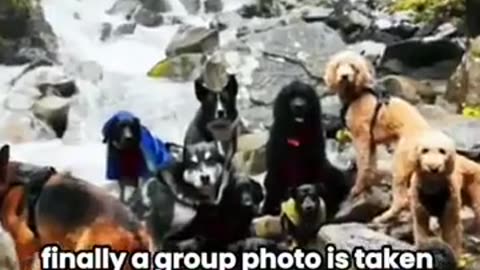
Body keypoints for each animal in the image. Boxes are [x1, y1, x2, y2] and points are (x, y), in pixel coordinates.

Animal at [322, 50, 432, 221]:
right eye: (339, 65)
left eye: (353, 66)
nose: (345, 76)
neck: (356, 94)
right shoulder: (371, 142)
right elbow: (371, 164)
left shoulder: (362, 137)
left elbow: (363, 165)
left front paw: (358, 188)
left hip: (400, 161)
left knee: (402, 198)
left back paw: (384, 217)